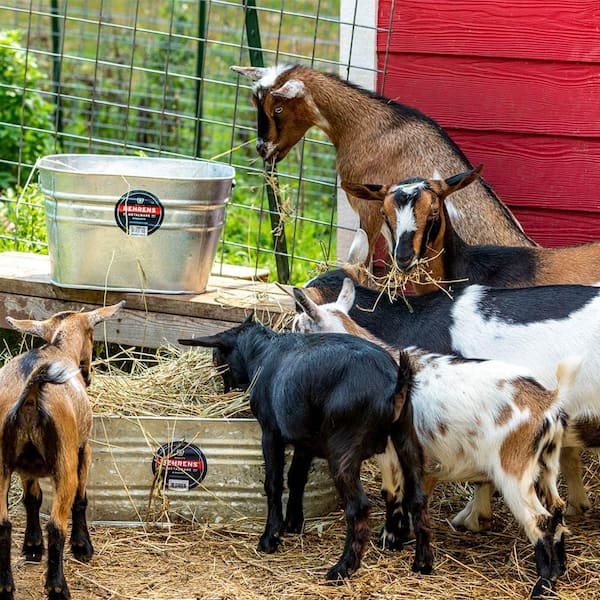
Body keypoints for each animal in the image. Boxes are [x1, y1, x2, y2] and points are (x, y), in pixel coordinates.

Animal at [0, 302, 123, 596]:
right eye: (92, 334)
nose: (88, 375)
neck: (58, 350)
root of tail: (31, 396)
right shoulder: (83, 449)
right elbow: (81, 499)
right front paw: (82, 547)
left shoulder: (27, 468)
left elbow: (32, 498)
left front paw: (32, 547)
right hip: (64, 464)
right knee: (56, 526)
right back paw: (57, 587)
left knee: (2, 524)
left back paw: (5, 586)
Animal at [230, 62, 536, 264]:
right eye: (257, 106)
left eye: (279, 108)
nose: (262, 149)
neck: (366, 125)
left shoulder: (368, 209)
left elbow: (360, 262)